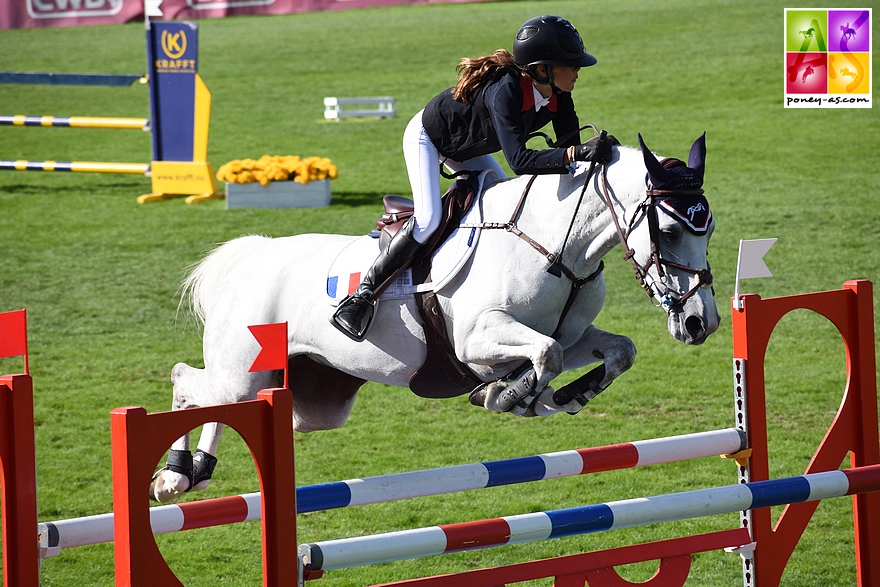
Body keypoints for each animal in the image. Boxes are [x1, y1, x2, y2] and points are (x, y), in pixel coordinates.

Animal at [151, 133, 720, 500]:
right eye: (671, 231)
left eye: (709, 229)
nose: (702, 323)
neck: (554, 246)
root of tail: (251, 257)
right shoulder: (477, 342)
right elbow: (545, 355)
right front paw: (509, 396)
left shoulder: (574, 334)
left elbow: (616, 351)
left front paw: (565, 397)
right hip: (242, 372)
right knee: (188, 382)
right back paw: (175, 475)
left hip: (299, 395)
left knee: (224, 404)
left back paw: (197, 472)